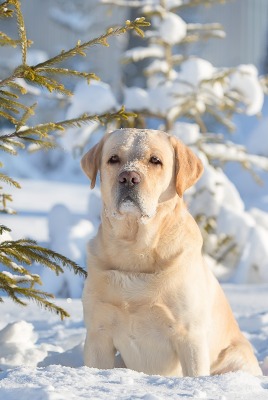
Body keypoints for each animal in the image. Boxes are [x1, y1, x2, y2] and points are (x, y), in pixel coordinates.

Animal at [81, 130, 262, 376]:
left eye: (155, 160)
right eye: (113, 159)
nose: (128, 177)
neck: (136, 250)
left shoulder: (189, 335)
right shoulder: (98, 333)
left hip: (235, 358)